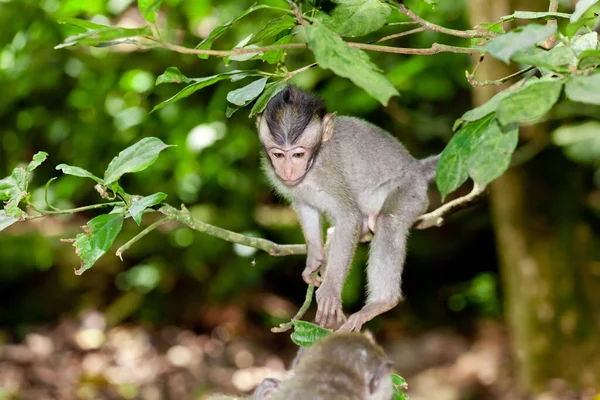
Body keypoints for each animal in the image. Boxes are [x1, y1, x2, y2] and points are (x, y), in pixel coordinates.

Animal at [255, 85, 438, 332]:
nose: (288, 171)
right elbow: (306, 207)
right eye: (278, 154)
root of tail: (417, 168)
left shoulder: (329, 172)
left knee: (388, 221)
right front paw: (314, 260)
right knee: (341, 231)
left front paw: (330, 291)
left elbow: (349, 216)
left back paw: (382, 302)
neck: (313, 164)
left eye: (298, 154)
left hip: (412, 192)